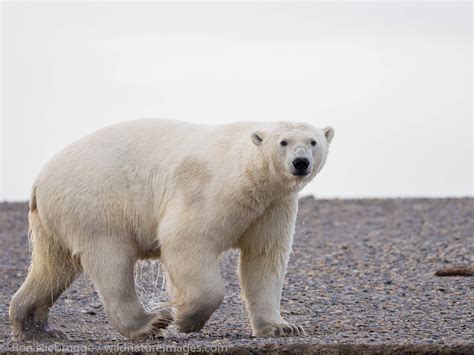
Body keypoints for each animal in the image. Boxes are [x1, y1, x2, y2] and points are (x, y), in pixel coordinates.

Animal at [7, 120, 334, 342]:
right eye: (283, 142)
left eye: (313, 141)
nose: (300, 162)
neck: (250, 174)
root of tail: (39, 180)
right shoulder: (212, 190)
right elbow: (185, 239)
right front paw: (186, 319)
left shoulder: (272, 207)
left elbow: (264, 258)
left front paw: (283, 327)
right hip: (96, 204)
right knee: (111, 261)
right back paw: (149, 323)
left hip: (55, 217)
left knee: (54, 266)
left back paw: (35, 327)